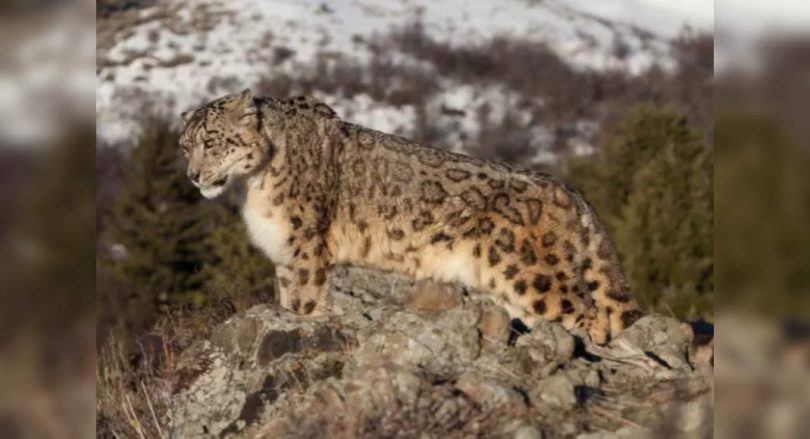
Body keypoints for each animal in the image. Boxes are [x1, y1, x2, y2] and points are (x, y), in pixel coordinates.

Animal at [179, 89, 644, 344]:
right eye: (185, 146)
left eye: (213, 141)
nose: (193, 175)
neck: (253, 184)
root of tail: (570, 191)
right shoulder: (283, 256)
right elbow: (286, 300)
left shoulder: (305, 249)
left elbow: (305, 303)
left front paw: (303, 324)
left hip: (533, 275)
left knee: (589, 315)